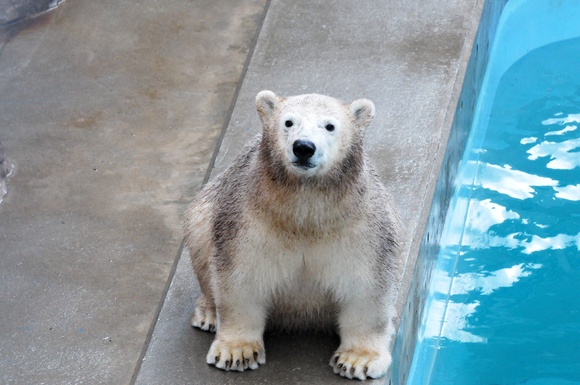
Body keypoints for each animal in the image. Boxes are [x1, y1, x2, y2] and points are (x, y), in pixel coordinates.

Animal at [186, 89, 404, 378]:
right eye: (288, 122)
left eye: (330, 125)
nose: (303, 147)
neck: (305, 214)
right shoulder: (248, 220)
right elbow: (241, 278)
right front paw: (237, 352)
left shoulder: (364, 227)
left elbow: (368, 286)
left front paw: (358, 360)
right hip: (208, 207)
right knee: (199, 228)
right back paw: (209, 313)